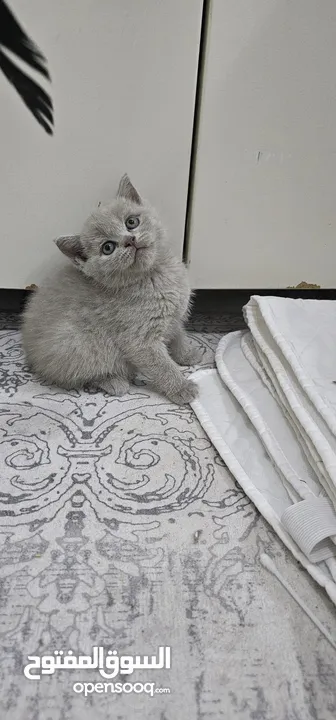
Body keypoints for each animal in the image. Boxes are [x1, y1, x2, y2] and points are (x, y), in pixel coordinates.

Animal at [23, 172, 202, 402]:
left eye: (131, 222)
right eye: (108, 248)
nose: (130, 240)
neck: (154, 275)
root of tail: (31, 353)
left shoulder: (174, 317)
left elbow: (178, 335)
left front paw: (187, 354)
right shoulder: (140, 339)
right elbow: (161, 364)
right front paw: (181, 387)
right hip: (79, 342)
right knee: (80, 374)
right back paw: (114, 381)